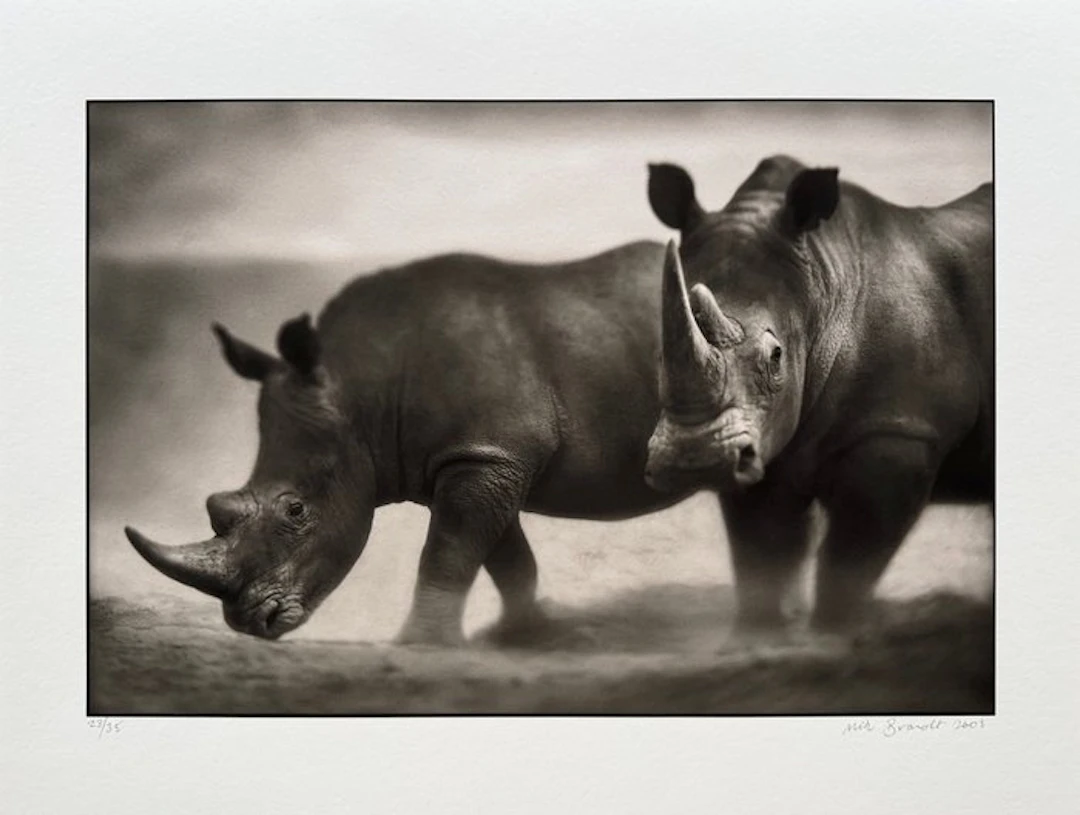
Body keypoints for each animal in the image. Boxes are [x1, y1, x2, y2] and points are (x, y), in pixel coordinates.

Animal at [126, 242, 692, 645]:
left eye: (295, 510)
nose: (248, 622)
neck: (360, 388)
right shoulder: (479, 456)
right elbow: (504, 557)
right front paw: (521, 636)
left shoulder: (485, 455)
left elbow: (448, 553)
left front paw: (418, 645)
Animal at [643, 155, 993, 632]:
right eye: (657, 355)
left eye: (776, 356)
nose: (695, 461)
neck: (822, 289)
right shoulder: (762, 439)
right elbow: (763, 554)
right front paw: (761, 633)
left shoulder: (899, 431)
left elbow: (849, 561)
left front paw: (832, 634)